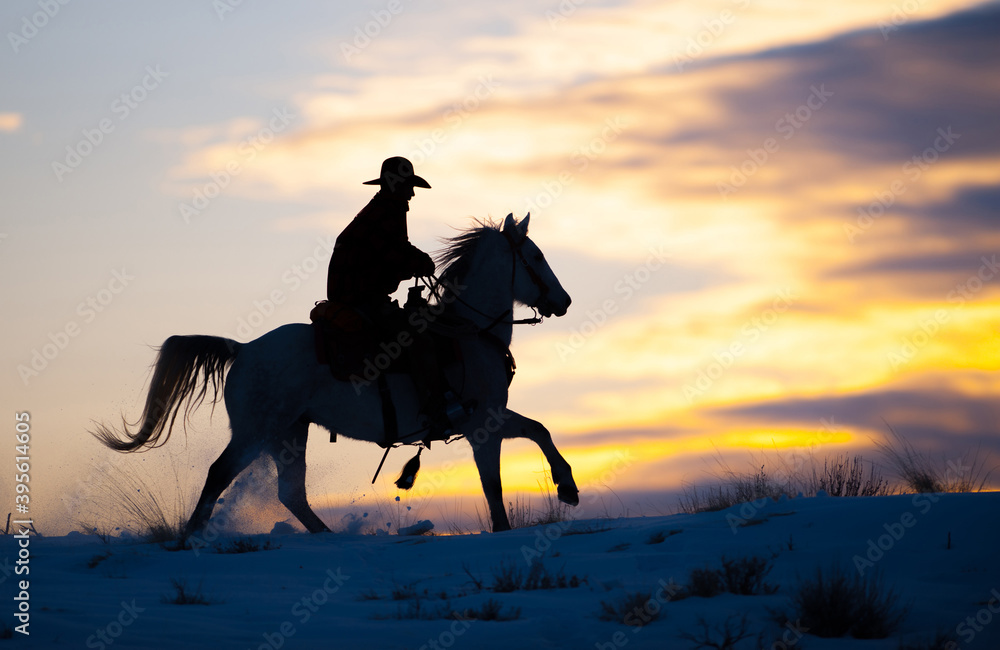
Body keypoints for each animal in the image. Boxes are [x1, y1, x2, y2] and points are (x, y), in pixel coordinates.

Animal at [93, 213, 578, 535]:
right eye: (536, 256)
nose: (565, 301)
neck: (470, 332)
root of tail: (243, 349)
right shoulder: (483, 425)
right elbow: (495, 484)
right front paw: (523, 516)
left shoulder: (492, 418)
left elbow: (539, 429)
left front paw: (567, 488)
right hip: (256, 430)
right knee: (219, 474)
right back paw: (194, 537)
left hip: (288, 432)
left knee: (290, 493)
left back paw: (328, 538)